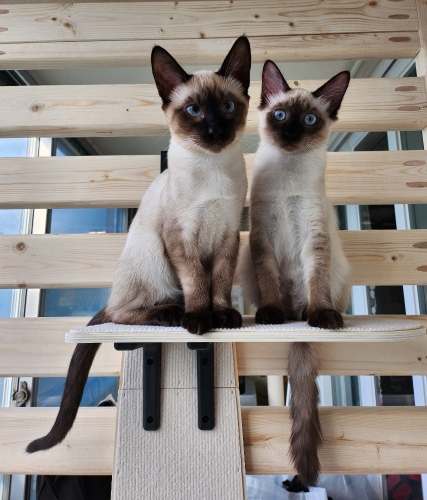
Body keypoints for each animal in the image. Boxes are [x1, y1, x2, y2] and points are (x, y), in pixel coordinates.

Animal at [27, 36, 251, 453]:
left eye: (228, 107)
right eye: (193, 110)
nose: (215, 131)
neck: (213, 170)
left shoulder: (229, 235)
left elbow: (220, 283)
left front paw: (223, 316)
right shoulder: (181, 237)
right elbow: (198, 282)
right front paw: (201, 320)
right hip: (152, 256)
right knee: (120, 313)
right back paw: (174, 315)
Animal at [237, 60, 351, 487]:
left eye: (309, 119)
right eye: (281, 115)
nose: (290, 134)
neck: (287, 175)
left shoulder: (314, 238)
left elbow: (315, 281)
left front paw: (321, 317)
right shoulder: (262, 238)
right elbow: (269, 282)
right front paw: (271, 314)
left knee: (309, 300)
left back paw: (308, 316)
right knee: (282, 302)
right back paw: (281, 315)